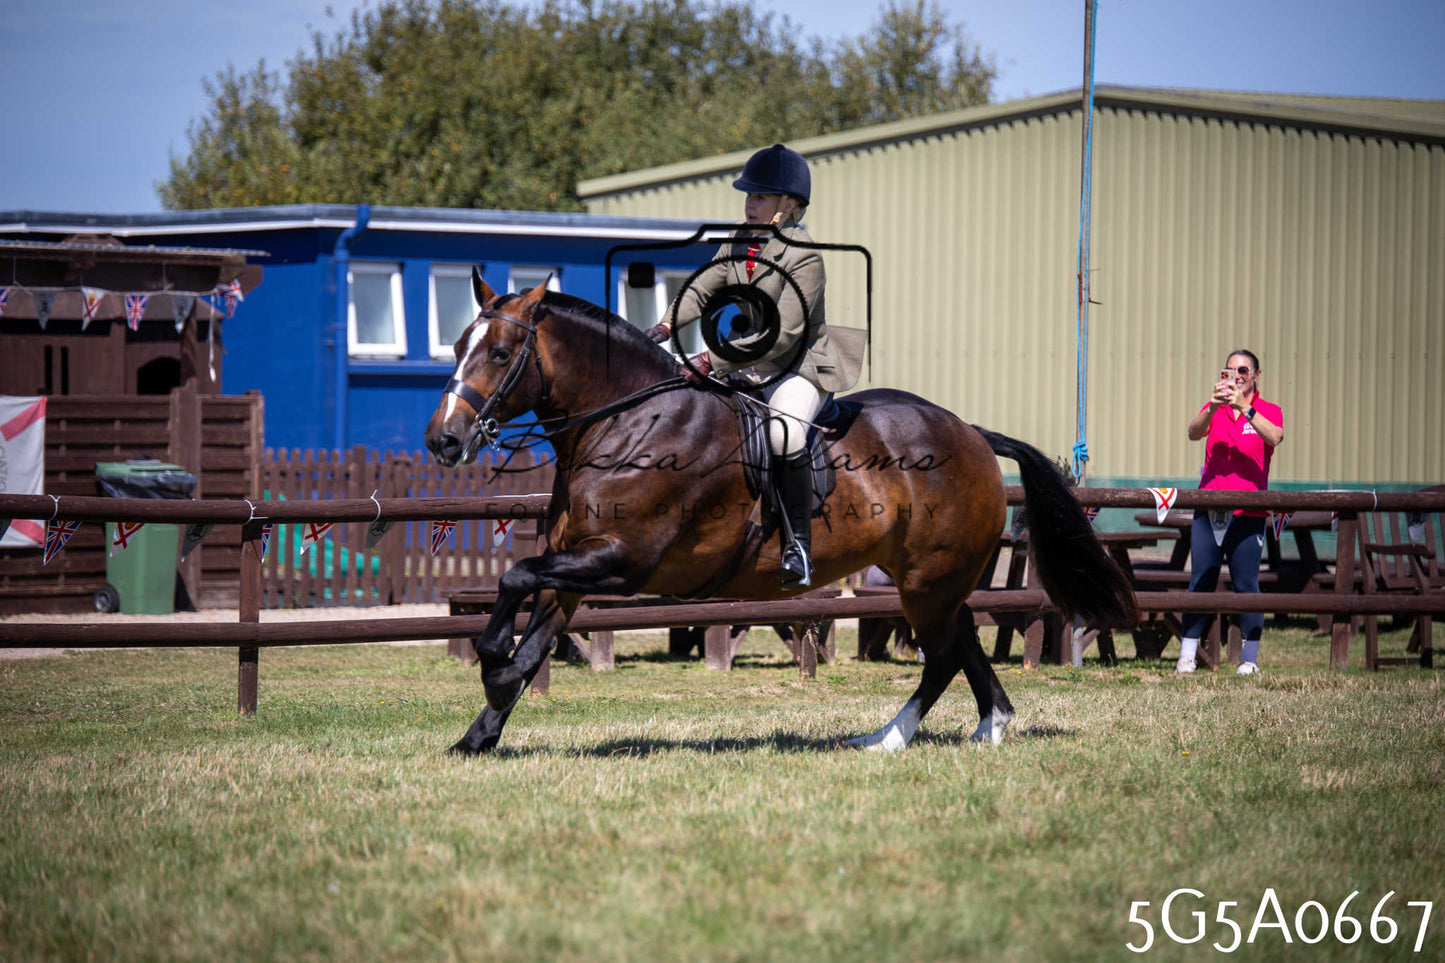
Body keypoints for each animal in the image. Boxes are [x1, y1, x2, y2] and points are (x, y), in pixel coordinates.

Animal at [425, 270, 1137, 755]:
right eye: (457, 344)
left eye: (497, 354)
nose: (444, 441)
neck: (627, 419)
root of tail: (973, 434)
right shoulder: (575, 570)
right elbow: (534, 632)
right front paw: (477, 735)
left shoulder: (622, 563)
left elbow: (515, 580)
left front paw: (492, 664)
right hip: (927, 580)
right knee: (958, 642)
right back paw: (965, 729)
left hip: (928, 579)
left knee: (941, 654)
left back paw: (904, 738)